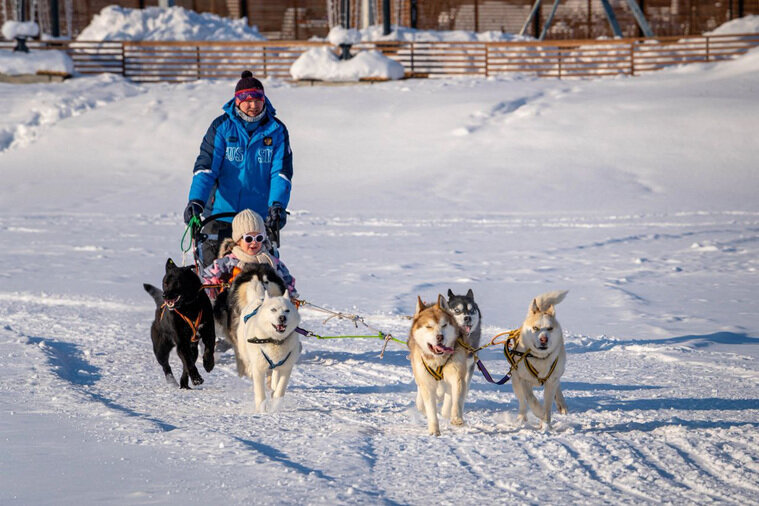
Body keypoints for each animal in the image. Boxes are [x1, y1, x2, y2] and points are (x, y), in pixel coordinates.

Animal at [143, 258, 215, 390]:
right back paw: (173, 381)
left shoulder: (208, 331)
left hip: (192, 348)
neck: (189, 308)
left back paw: (184, 384)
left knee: (187, 363)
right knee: (166, 365)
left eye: (176, 283)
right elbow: (188, 363)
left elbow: (209, 348)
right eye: (165, 283)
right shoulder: (181, 342)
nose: (165, 295)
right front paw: (196, 378)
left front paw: (208, 363)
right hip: (161, 348)